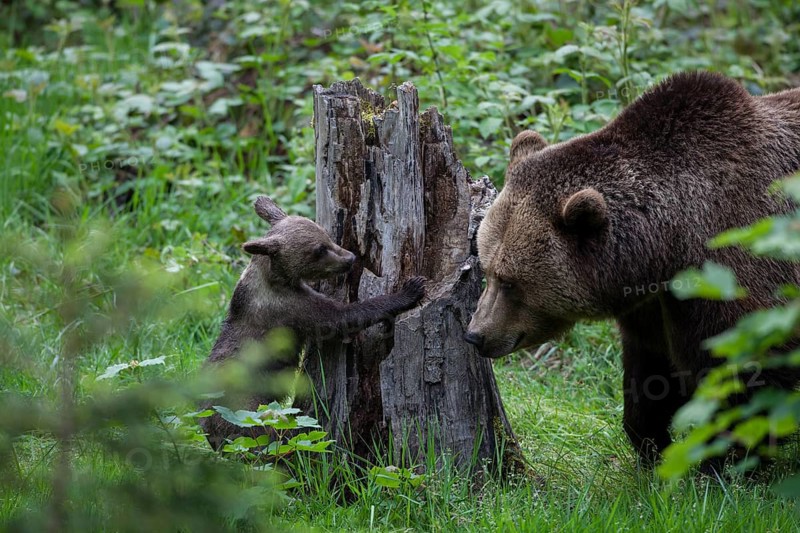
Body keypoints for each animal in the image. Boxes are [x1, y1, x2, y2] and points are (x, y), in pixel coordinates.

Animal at [200, 195, 426, 449]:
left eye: (326, 235)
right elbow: (342, 318)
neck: (275, 279)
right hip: (245, 410)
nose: (350, 258)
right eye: (319, 249)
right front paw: (409, 291)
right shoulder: (291, 309)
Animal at [464, 71, 800, 465]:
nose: (476, 334)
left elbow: (739, 378)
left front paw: (721, 459)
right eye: (486, 270)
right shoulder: (656, 304)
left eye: (511, 282)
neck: (666, 248)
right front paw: (652, 442)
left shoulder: (733, 271)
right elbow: (652, 372)